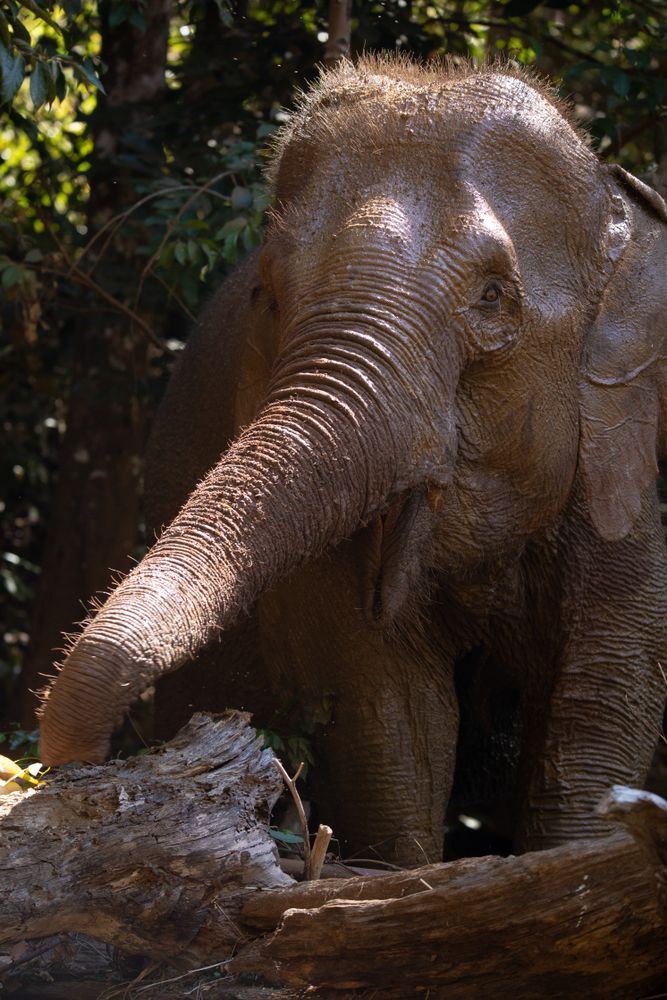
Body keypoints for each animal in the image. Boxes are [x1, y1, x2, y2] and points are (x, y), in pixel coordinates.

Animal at [39, 56, 667, 867]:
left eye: (494, 297)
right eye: (269, 297)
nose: (76, 774)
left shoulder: (616, 484)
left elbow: (603, 703)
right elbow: (390, 720)